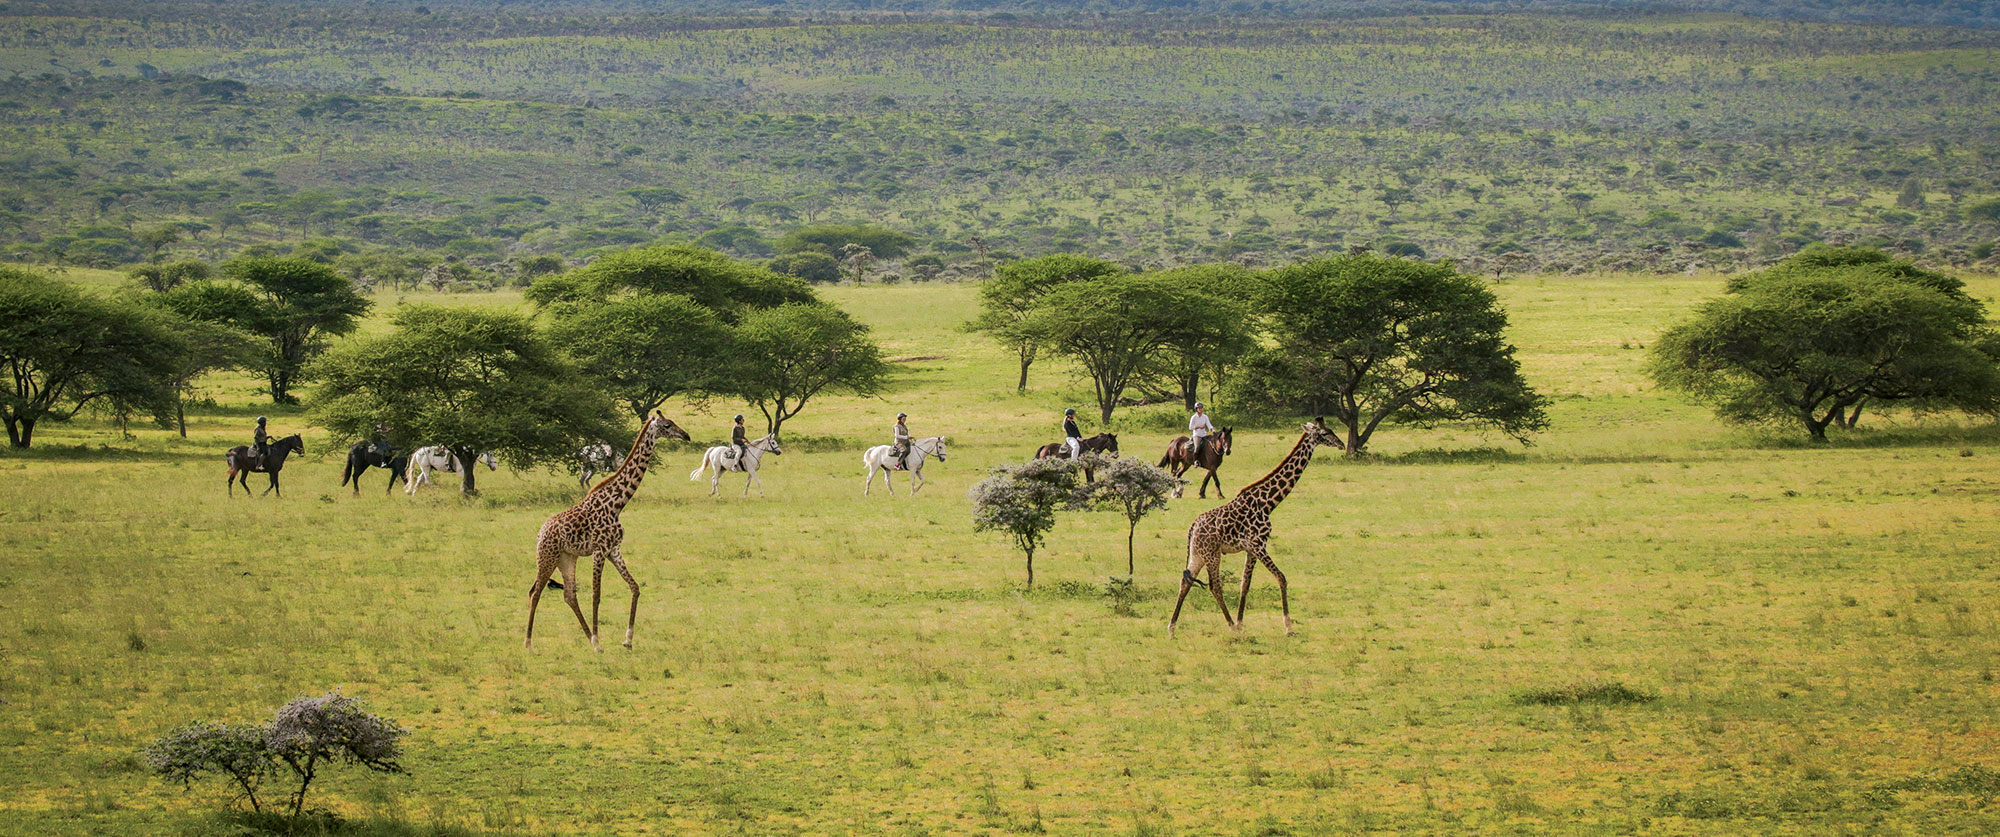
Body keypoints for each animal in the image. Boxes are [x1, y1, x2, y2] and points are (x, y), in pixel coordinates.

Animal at [524, 414, 696, 648]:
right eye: (667, 425)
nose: (686, 435)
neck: (617, 504)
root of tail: (540, 532)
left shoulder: (613, 550)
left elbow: (635, 587)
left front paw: (627, 639)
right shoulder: (599, 550)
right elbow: (596, 595)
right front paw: (599, 640)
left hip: (567, 558)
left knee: (569, 595)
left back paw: (588, 639)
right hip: (547, 556)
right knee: (536, 591)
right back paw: (529, 644)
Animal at [1168, 414, 1344, 636]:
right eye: (1325, 432)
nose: (1341, 444)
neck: (1268, 503)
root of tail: (1192, 528)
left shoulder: (1251, 549)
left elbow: (1245, 584)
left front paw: (1242, 622)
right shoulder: (1258, 544)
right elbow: (1281, 578)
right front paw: (1288, 626)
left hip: (1197, 554)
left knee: (1185, 581)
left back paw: (1172, 628)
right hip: (1212, 554)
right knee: (1214, 585)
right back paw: (1230, 625)